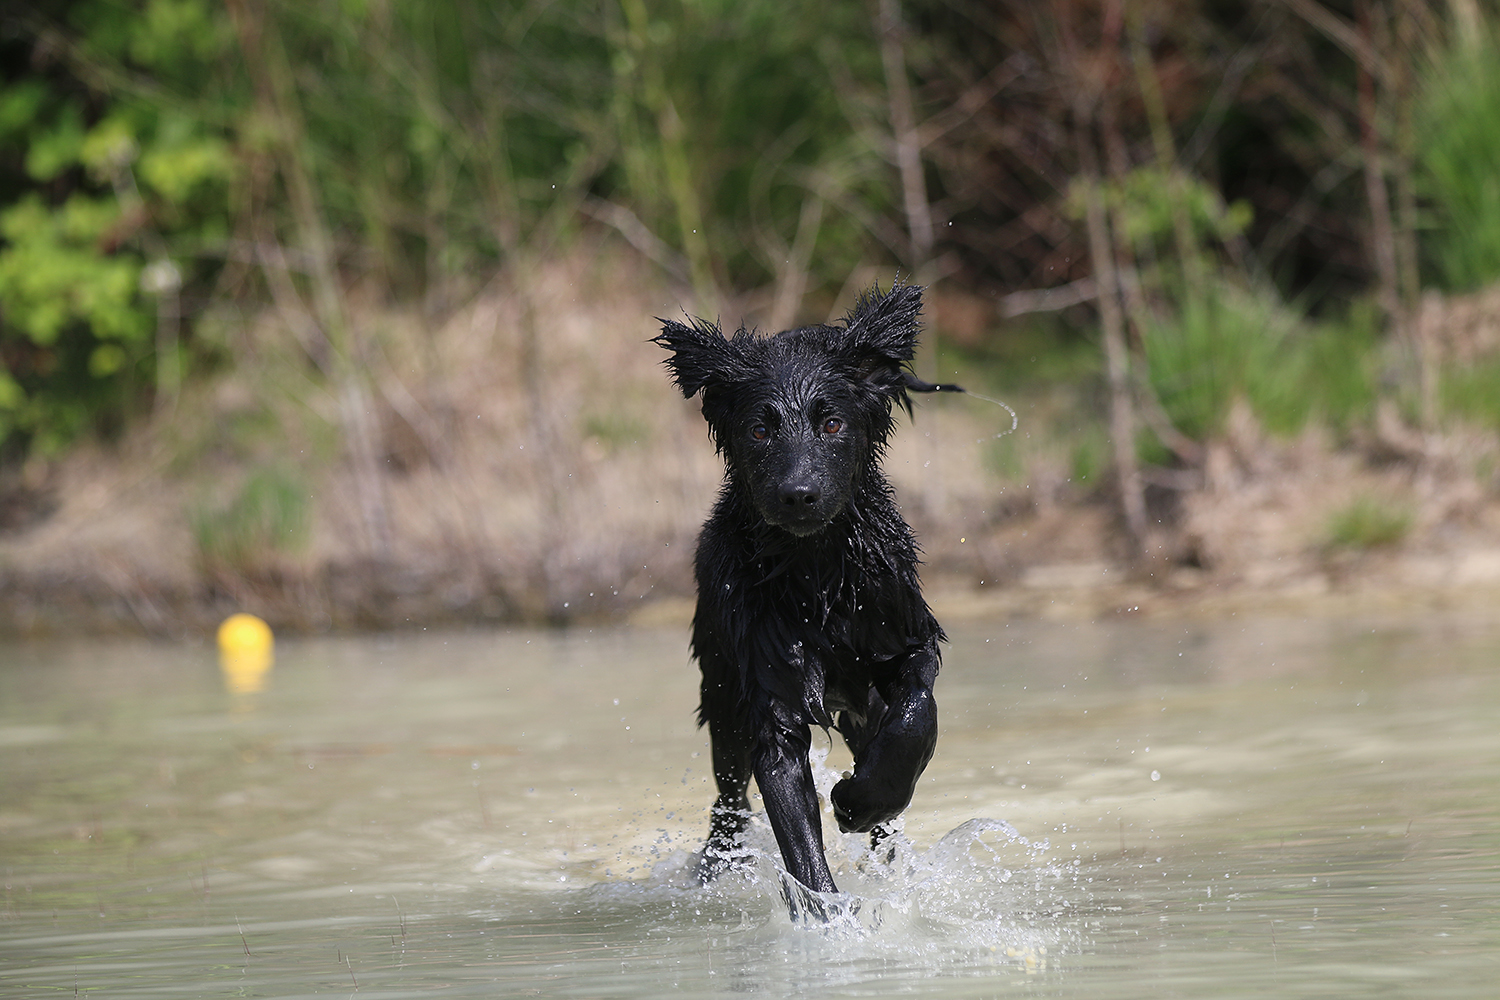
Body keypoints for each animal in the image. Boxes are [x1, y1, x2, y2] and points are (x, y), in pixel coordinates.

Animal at [654, 280, 951, 895]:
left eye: (832, 423)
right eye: (759, 430)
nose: (798, 494)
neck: (817, 573)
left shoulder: (903, 637)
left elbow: (915, 717)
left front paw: (859, 800)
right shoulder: (771, 696)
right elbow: (798, 842)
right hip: (722, 691)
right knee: (728, 797)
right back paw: (716, 865)